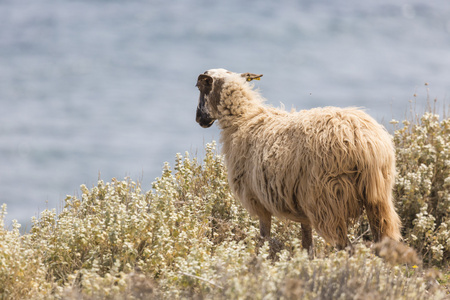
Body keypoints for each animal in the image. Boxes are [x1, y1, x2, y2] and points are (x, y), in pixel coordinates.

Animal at [195, 68, 402, 253]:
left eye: (200, 87)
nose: (199, 119)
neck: (244, 120)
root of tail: (362, 142)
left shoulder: (259, 202)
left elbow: (263, 239)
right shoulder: (303, 212)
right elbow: (307, 245)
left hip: (328, 200)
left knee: (345, 246)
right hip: (378, 198)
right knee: (383, 241)